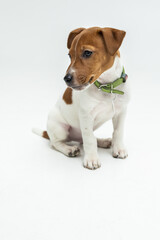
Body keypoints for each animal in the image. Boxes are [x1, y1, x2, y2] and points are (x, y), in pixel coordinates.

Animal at [32, 26, 130, 169]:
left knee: (84, 140)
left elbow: (118, 132)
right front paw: (92, 160)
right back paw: (69, 149)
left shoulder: (121, 113)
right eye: (69, 55)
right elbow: (89, 139)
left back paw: (103, 141)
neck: (107, 87)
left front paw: (119, 149)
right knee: (56, 143)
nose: (66, 79)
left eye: (87, 53)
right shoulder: (86, 116)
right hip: (60, 128)